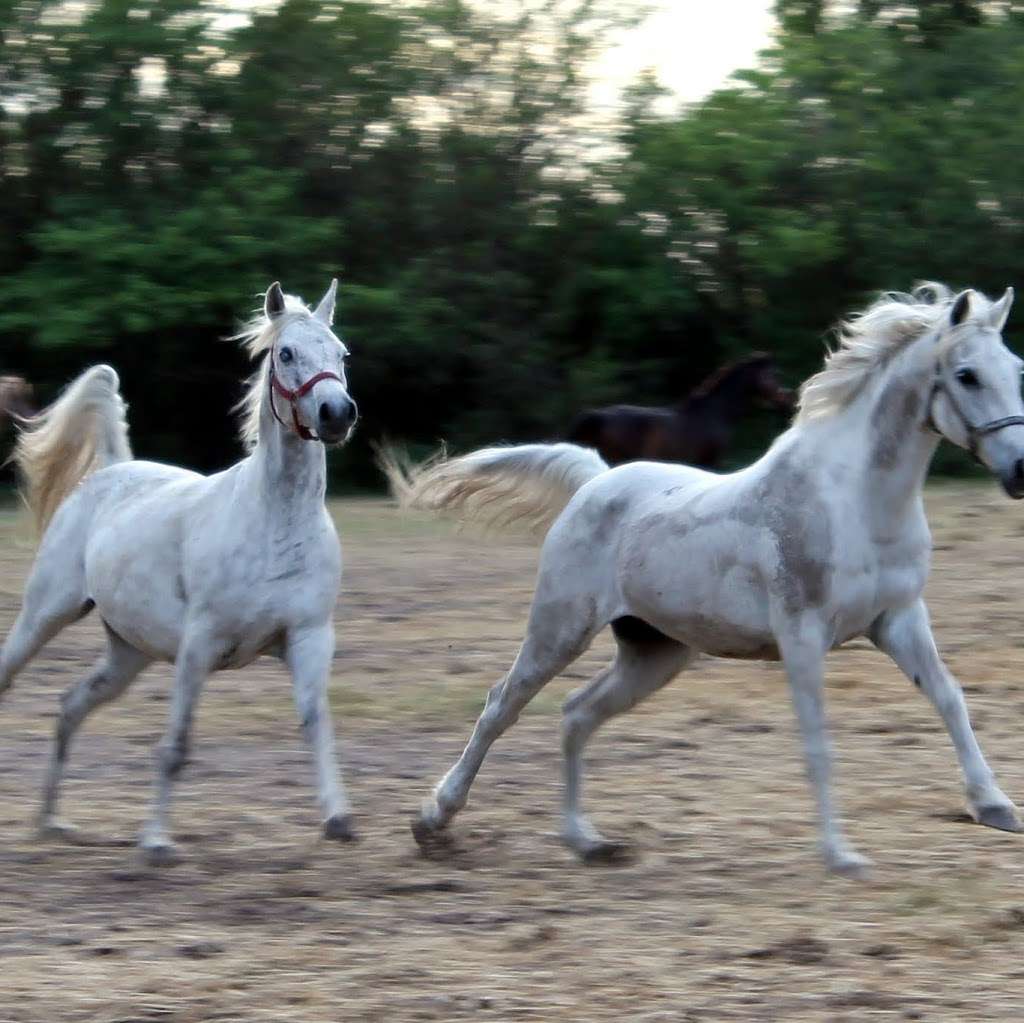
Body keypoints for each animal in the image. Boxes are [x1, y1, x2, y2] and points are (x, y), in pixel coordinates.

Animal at [0, 280, 358, 864]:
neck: (275, 523)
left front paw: (339, 819)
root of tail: (111, 472)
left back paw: (50, 822)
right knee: (14, 677)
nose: (337, 413)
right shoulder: (199, 645)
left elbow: (316, 723)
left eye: (341, 354)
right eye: (285, 353)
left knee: (70, 705)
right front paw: (156, 843)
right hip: (44, 616)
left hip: (128, 654)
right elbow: (176, 745)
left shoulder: (308, 637)